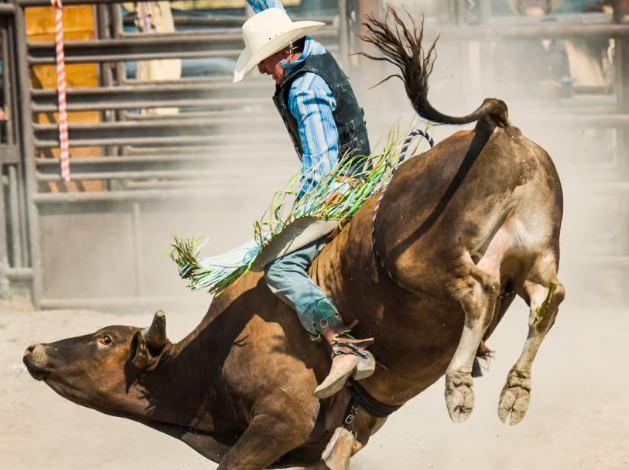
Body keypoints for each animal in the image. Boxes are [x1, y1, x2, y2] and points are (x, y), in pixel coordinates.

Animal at [23, 10, 564, 470]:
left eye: (104, 338)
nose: (34, 350)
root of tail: (500, 127)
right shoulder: (344, 435)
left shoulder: (280, 421)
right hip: (534, 254)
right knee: (547, 299)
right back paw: (514, 392)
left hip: (424, 262)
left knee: (479, 292)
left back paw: (458, 387)